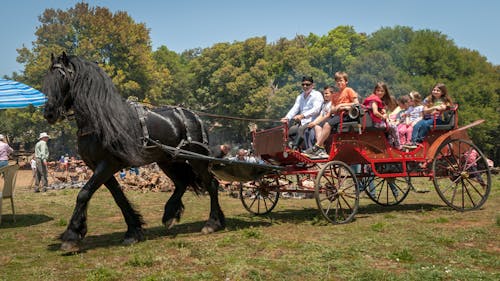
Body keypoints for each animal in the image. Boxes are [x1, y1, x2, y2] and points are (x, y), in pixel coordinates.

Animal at [43, 52, 227, 249]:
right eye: (47, 78)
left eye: (62, 77)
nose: (49, 113)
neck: (100, 120)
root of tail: (194, 116)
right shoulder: (99, 167)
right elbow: (119, 198)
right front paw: (133, 230)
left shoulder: (108, 164)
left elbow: (84, 193)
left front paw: (71, 235)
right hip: (168, 160)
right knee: (182, 183)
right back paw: (170, 215)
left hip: (196, 159)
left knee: (211, 184)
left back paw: (212, 222)